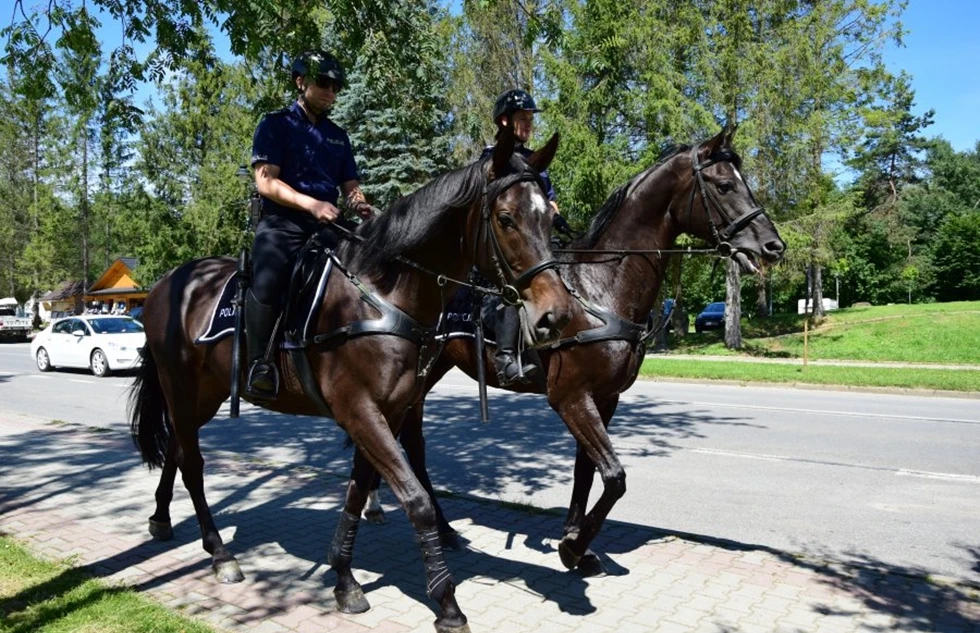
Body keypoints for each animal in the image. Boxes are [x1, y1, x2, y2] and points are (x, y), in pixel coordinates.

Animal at [364, 126, 784, 576]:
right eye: (724, 185)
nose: (773, 246)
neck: (599, 290)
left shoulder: (604, 398)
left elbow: (587, 469)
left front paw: (574, 539)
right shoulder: (570, 397)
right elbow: (614, 476)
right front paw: (573, 546)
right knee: (408, 442)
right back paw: (425, 523)